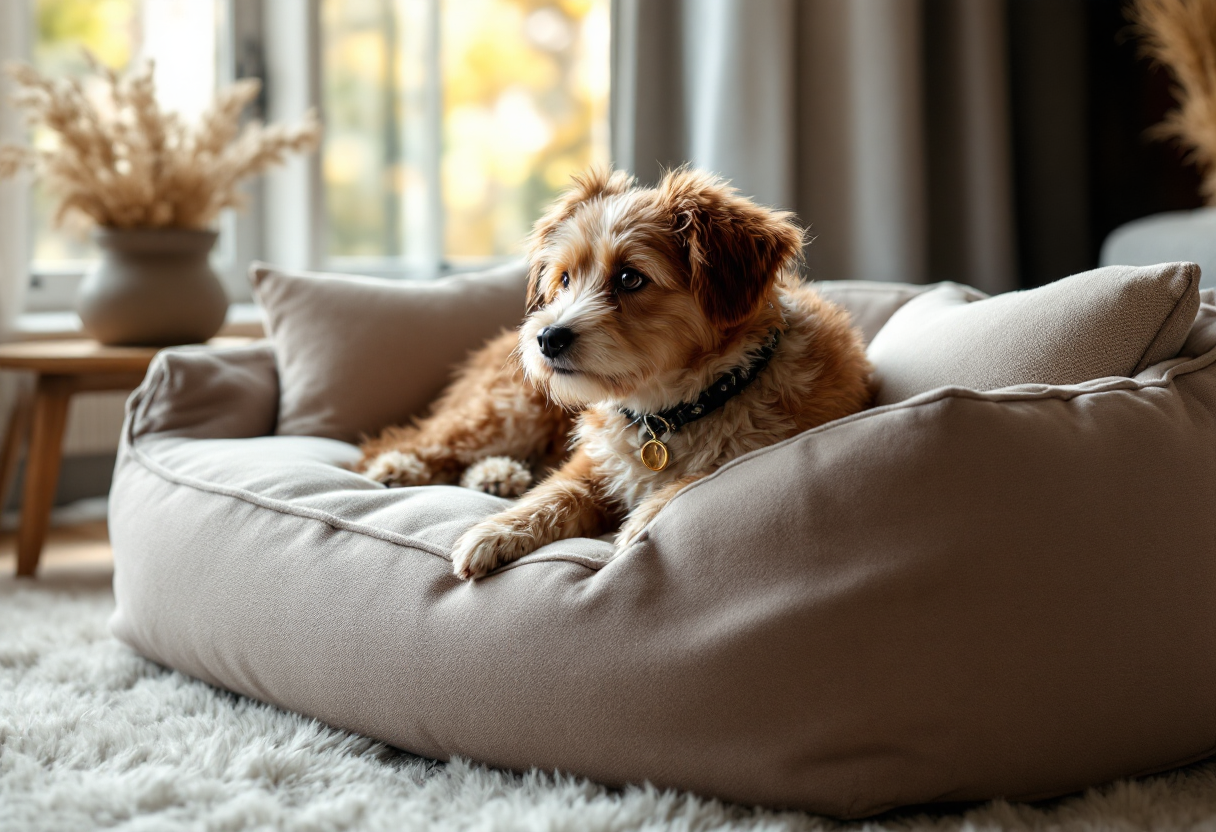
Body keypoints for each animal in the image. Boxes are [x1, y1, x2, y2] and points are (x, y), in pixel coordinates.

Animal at [355, 167, 870, 578]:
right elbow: (552, 494)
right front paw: (492, 531)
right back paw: (404, 467)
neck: (671, 411)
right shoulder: (592, 463)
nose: (547, 338)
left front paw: (639, 527)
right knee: (392, 444)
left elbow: (694, 481)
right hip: (510, 410)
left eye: (630, 277)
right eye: (564, 279)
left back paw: (494, 476)